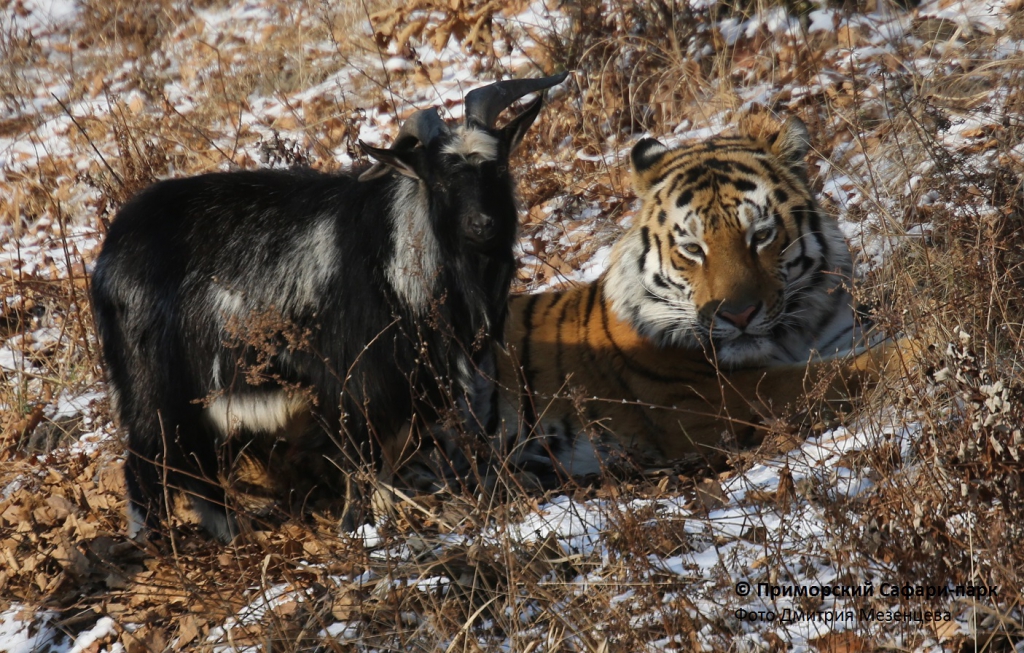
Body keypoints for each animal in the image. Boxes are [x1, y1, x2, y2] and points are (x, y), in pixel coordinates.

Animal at [90, 72, 569, 540]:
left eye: (499, 167)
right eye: (440, 182)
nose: (482, 225)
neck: (398, 251)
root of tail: (109, 255)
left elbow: (385, 465)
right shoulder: (355, 381)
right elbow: (363, 463)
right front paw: (359, 530)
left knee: (196, 468)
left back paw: (235, 534)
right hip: (154, 388)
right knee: (147, 466)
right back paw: (159, 546)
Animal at [495, 113, 897, 481]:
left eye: (761, 235)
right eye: (692, 248)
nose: (738, 315)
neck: (796, 336)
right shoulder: (716, 400)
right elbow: (840, 372)